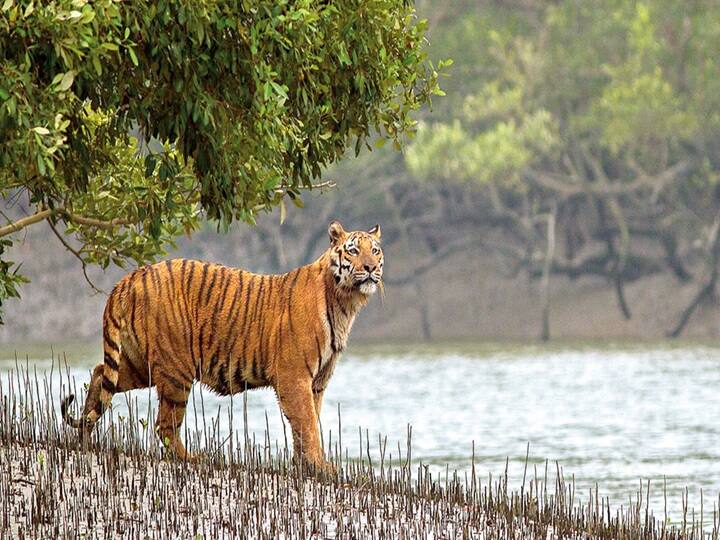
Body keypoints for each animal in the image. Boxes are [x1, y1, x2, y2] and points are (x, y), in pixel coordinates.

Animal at [60, 220, 382, 472]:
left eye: (375, 250)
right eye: (353, 250)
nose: (370, 268)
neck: (345, 302)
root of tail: (129, 278)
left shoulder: (317, 382)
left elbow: (308, 423)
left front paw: (306, 465)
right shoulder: (294, 377)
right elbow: (308, 423)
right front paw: (320, 466)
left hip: (140, 364)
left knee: (100, 374)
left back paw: (85, 437)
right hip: (176, 369)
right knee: (164, 424)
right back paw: (192, 458)